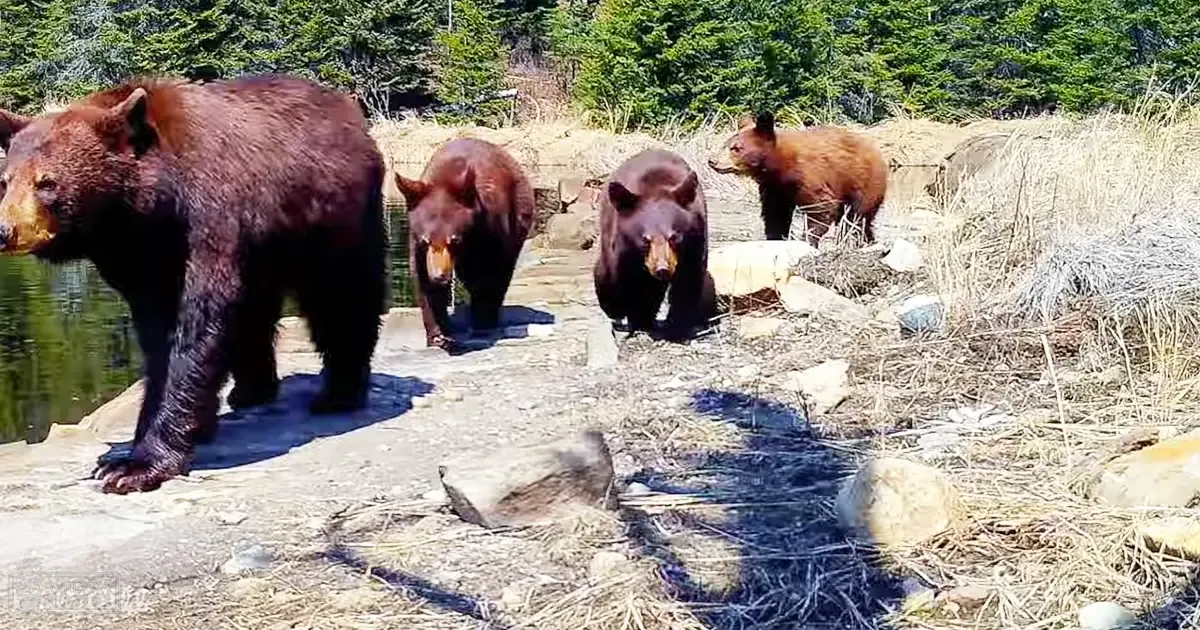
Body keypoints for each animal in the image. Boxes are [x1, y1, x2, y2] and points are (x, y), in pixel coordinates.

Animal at [0, 74, 386, 494]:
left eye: (46, 182)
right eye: (5, 180)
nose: (5, 230)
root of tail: (349, 110)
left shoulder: (207, 222)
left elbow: (195, 326)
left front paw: (136, 465)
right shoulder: (139, 261)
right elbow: (160, 336)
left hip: (334, 221)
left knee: (342, 298)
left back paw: (339, 393)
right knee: (256, 312)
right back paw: (251, 391)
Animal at [394, 138, 535, 350]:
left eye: (454, 239)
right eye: (426, 240)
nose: (439, 276)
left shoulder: (491, 227)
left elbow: (490, 270)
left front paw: (482, 323)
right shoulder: (417, 243)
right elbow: (423, 278)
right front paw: (438, 335)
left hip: (519, 213)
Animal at [593, 148, 715, 341]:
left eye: (674, 237)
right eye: (645, 239)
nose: (662, 269)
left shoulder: (695, 242)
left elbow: (687, 282)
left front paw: (676, 327)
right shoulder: (623, 249)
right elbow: (628, 281)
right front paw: (635, 319)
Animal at [708, 111, 888, 246]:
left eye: (736, 148)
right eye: (726, 144)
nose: (712, 161)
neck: (781, 166)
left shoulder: (810, 177)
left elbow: (821, 208)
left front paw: (808, 239)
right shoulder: (774, 188)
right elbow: (775, 213)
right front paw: (776, 237)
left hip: (863, 183)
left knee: (856, 218)